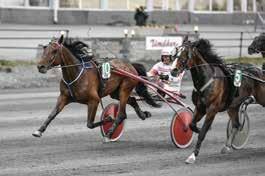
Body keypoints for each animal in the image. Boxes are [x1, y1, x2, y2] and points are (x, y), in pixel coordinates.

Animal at [32, 33, 160, 140]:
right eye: (44, 49)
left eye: (54, 51)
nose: (40, 66)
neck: (76, 74)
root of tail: (130, 65)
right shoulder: (63, 97)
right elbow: (52, 114)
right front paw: (39, 131)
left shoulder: (94, 100)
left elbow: (90, 123)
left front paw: (108, 118)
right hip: (115, 93)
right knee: (132, 100)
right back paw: (143, 114)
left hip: (125, 88)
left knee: (121, 114)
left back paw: (109, 134)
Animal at [170, 36, 262, 164]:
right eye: (175, 53)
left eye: (185, 53)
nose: (173, 70)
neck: (207, 79)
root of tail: (258, 70)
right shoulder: (200, 107)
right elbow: (191, 124)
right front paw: (198, 129)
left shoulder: (212, 109)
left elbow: (202, 133)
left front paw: (193, 155)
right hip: (233, 106)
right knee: (237, 124)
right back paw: (227, 146)